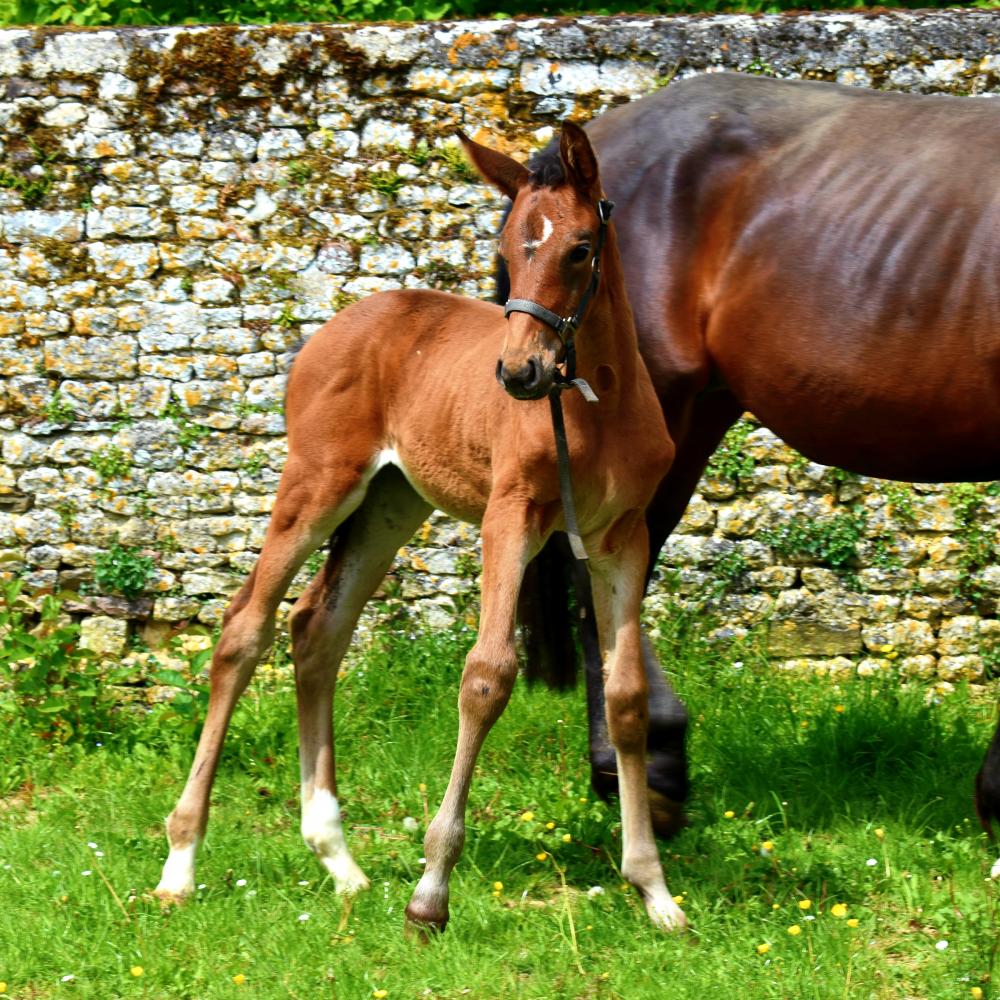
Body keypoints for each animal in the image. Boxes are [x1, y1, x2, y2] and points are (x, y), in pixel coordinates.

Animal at [152, 122, 686, 933]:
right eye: (506, 254)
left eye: (580, 249)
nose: (520, 374)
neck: (598, 406)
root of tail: (338, 323)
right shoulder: (509, 519)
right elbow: (486, 677)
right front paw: (431, 892)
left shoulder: (622, 537)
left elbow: (625, 697)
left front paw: (654, 890)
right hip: (318, 484)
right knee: (246, 627)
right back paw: (180, 862)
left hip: (389, 504)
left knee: (318, 628)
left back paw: (338, 860)